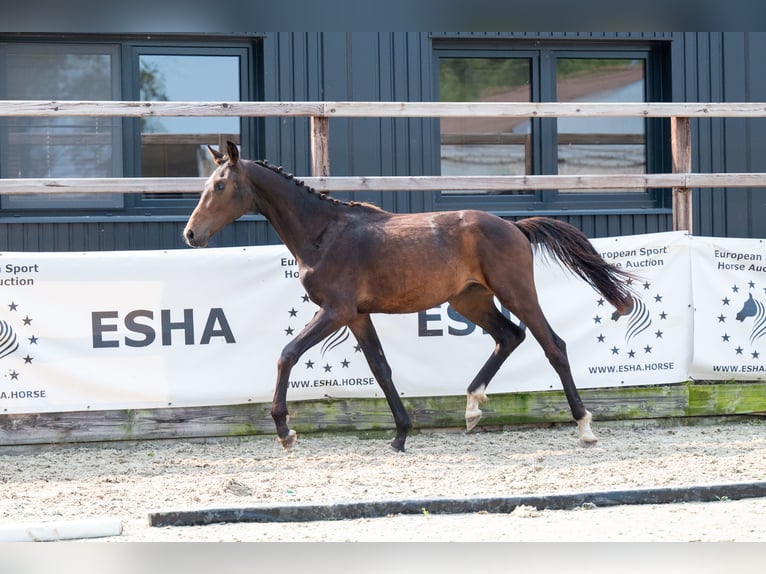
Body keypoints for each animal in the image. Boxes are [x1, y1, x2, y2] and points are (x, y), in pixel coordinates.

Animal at [184, 143, 636, 454]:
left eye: (220, 185)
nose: (190, 234)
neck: (323, 233)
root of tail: (515, 227)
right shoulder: (357, 316)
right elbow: (381, 369)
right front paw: (401, 435)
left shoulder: (335, 311)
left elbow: (287, 354)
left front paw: (285, 431)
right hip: (469, 301)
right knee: (509, 336)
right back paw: (472, 408)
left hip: (516, 292)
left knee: (552, 345)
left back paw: (585, 427)